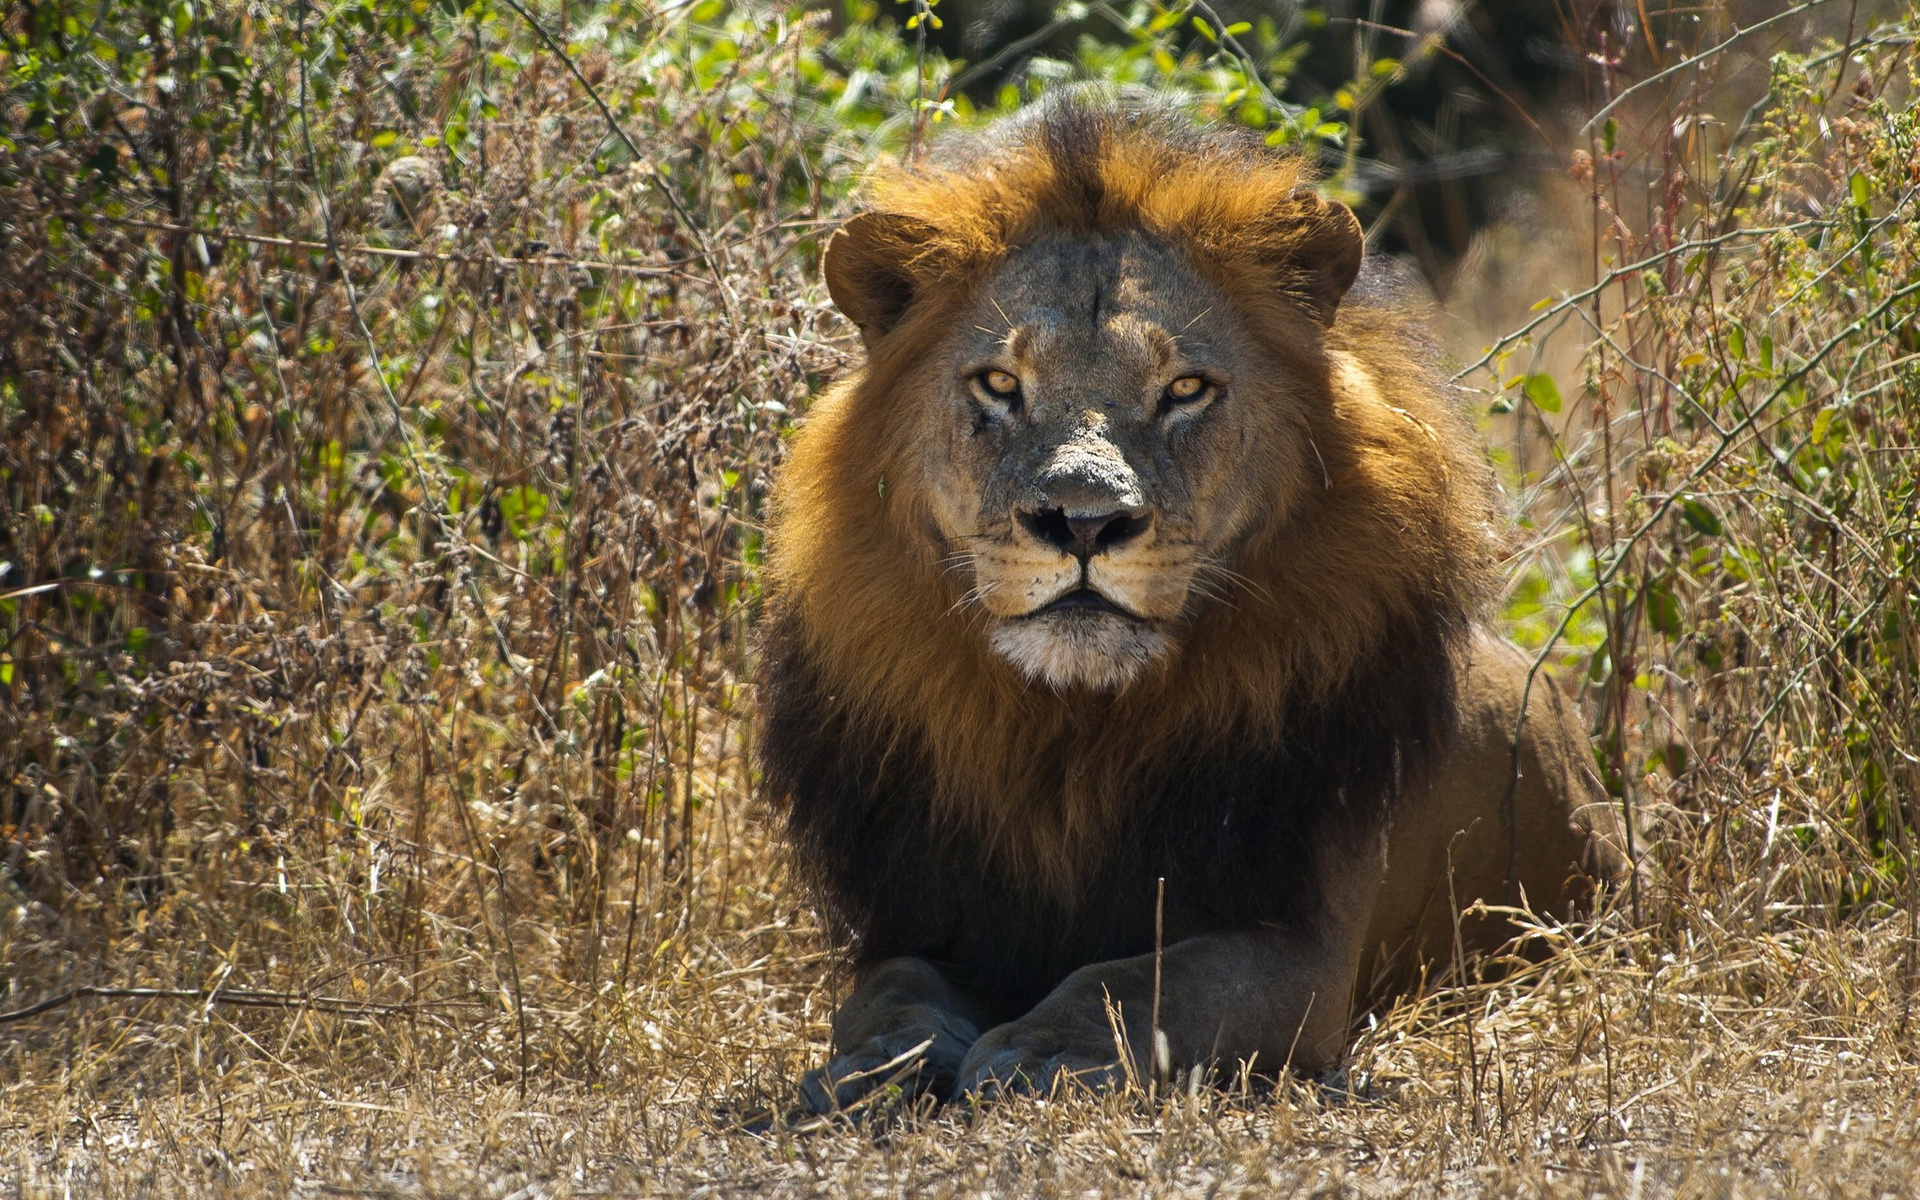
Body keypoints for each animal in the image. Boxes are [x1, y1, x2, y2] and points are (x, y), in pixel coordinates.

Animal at [756, 88, 1628, 1105]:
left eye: (1184, 389)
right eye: (1001, 384)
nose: (1082, 521)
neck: (1066, 734)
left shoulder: (1302, 949)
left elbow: (1143, 980)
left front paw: (1038, 1052)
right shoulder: (923, 914)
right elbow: (887, 990)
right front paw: (876, 1064)